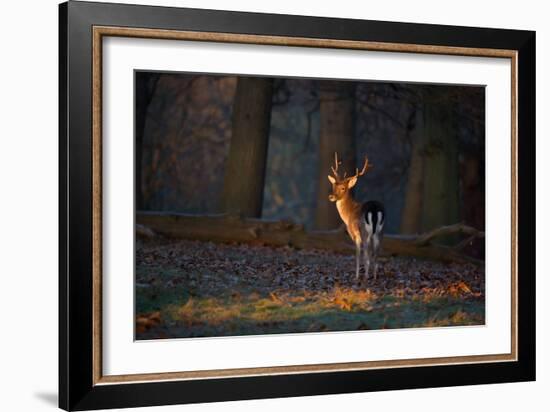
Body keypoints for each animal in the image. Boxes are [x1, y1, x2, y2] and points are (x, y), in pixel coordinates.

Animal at [328, 153, 388, 282]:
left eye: (343, 188)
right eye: (333, 185)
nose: (331, 196)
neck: (348, 214)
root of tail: (374, 209)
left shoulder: (354, 234)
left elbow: (357, 255)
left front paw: (356, 276)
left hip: (364, 231)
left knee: (367, 254)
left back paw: (365, 277)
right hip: (381, 231)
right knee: (376, 254)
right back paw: (374, 277)